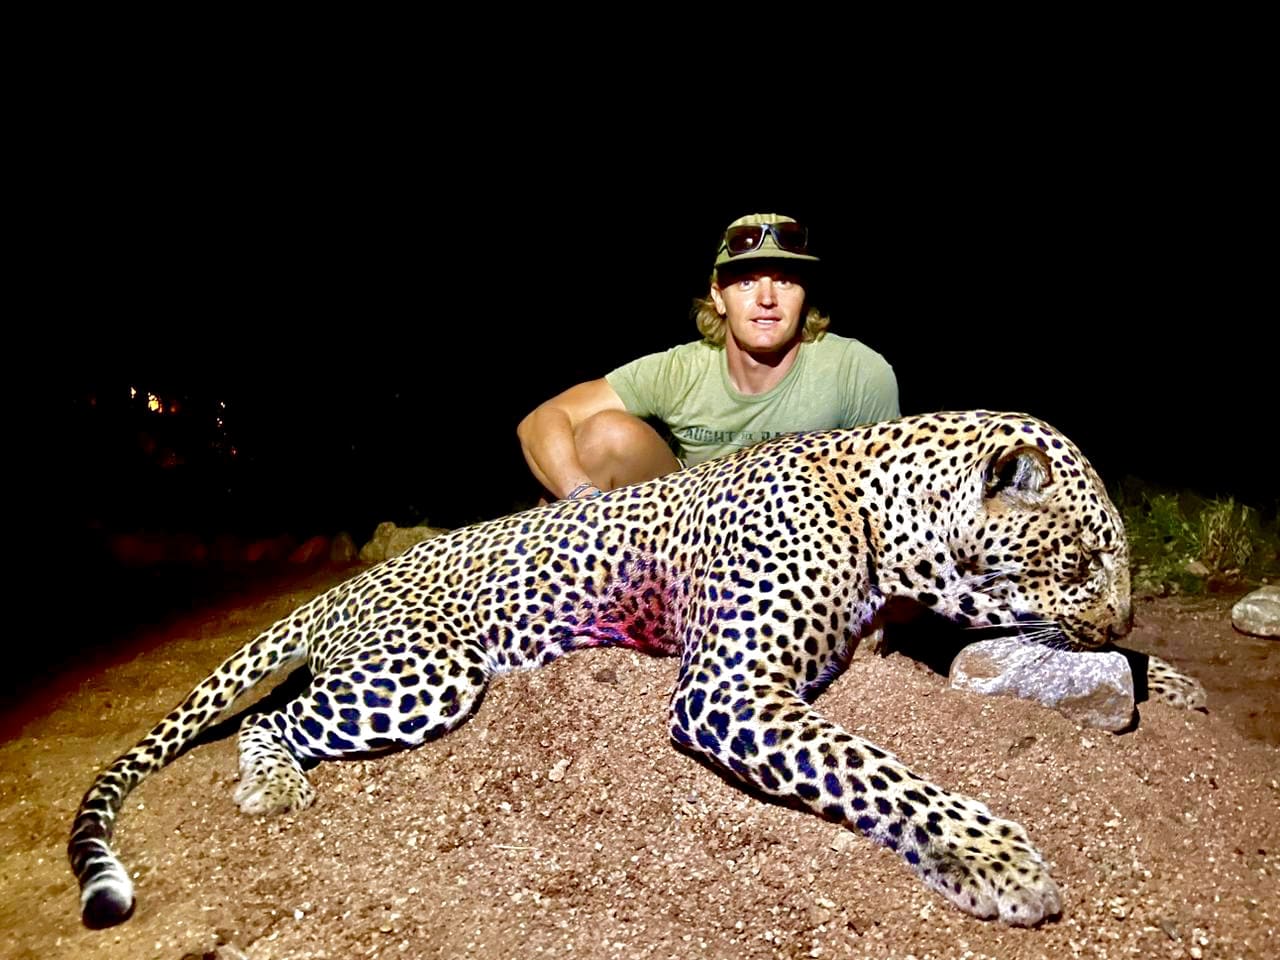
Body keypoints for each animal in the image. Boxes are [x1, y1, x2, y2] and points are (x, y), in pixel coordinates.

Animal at [69, 410, 1204, 930]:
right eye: (1085, 558)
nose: (1121, 610)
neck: (875, 512)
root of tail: (342, 586)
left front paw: (1167, 677)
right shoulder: (729, 688)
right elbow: (877, 768)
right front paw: (992, 857)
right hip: (430, 665)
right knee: (275, 718)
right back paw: (271, 785)